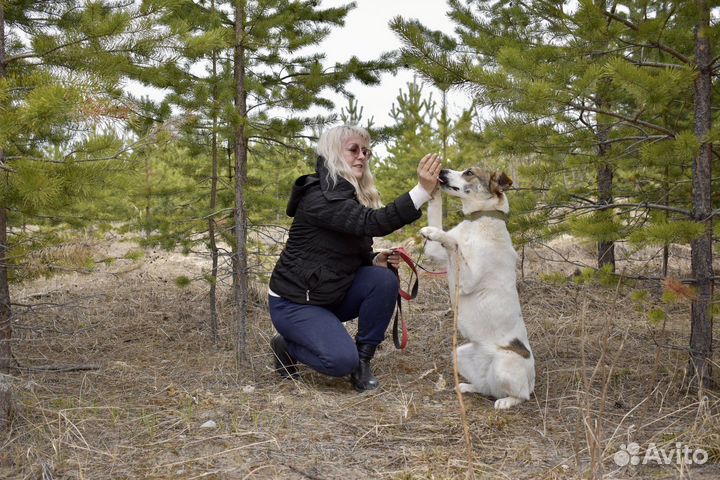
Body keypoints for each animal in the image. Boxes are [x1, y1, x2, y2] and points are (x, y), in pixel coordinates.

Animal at [420, 166, 532, 408]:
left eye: (469, 172)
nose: (443, 170)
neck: (476, 223)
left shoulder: (467, 279)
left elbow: (453, 243)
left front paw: (437, 233)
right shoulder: (436, 252)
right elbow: (437, 215)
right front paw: (431, 190)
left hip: (504, 364)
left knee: (522, 395)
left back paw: (507, 402)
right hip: (459, 354)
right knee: (486, 388)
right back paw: (468, 387)